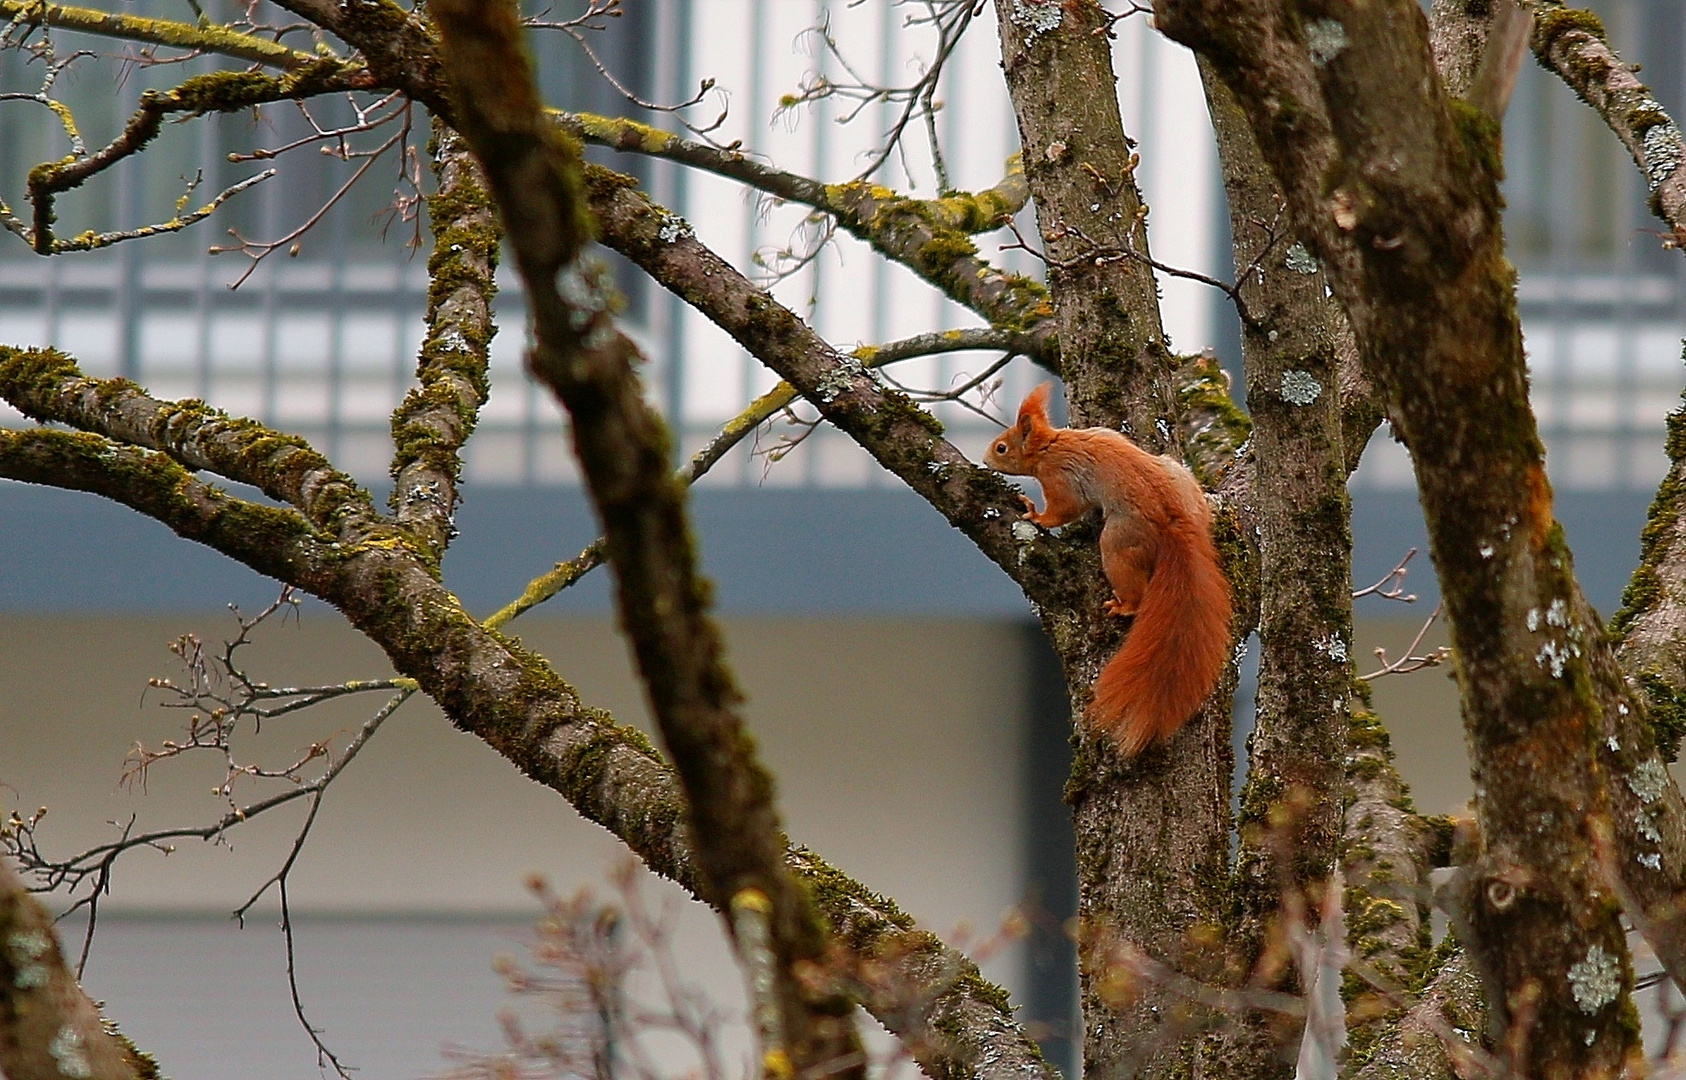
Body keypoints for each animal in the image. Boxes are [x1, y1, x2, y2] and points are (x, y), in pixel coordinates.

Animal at [984, 384, 1227, 754]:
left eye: (1002, 447)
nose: (985, 460)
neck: (1051, 444)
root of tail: (1171, 520)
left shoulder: (1061, 479)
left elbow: (1063, 510)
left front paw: (1034, 514)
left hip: (1118, 541)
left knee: (1131, 584)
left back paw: (1124, 606)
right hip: (1177, 474)